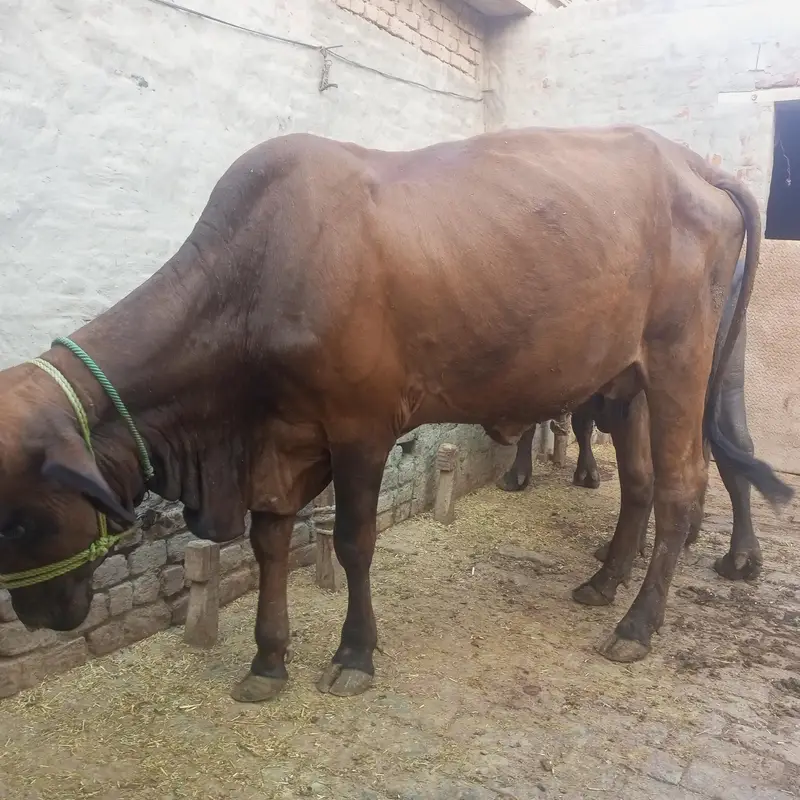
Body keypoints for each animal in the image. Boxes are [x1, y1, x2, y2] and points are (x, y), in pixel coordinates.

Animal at [497, 257, 769, 586]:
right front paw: (586, 473)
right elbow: (582, 426)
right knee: (735, 446)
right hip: (725, 377)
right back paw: (736, 556)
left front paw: (517, 476)